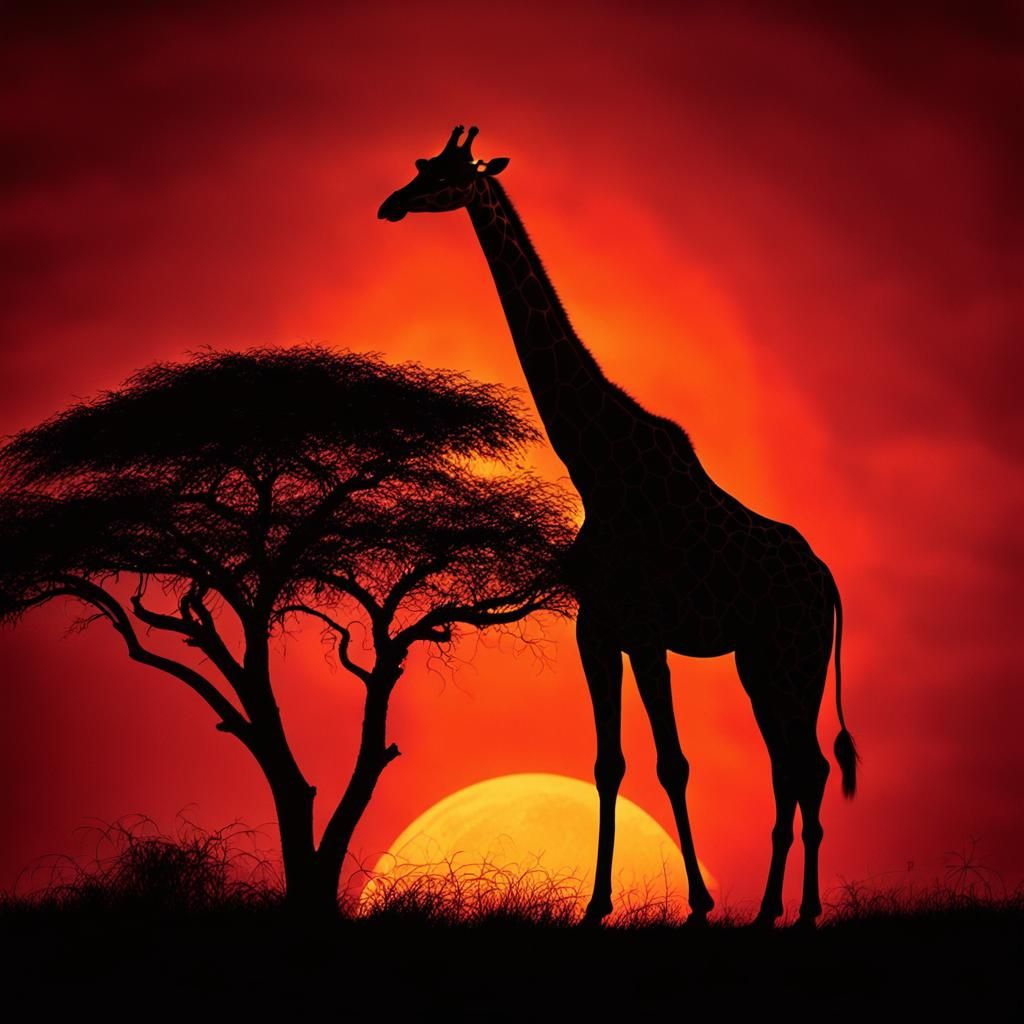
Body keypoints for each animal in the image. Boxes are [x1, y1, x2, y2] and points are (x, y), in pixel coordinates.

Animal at [378, 126, 859, 928]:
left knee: (807, 765)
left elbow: (670, 763)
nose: (391, 203)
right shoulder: (602, 627)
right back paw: (773, 910)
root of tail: (825, 581)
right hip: (764, 661)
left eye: (448, 174)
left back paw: (798, 909)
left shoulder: (638, 629)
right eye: (421, 164)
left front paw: (695, 903)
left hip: (792, 653)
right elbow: (612, 764)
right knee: (796, 766)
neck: (595, 467)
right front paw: (600, 903)